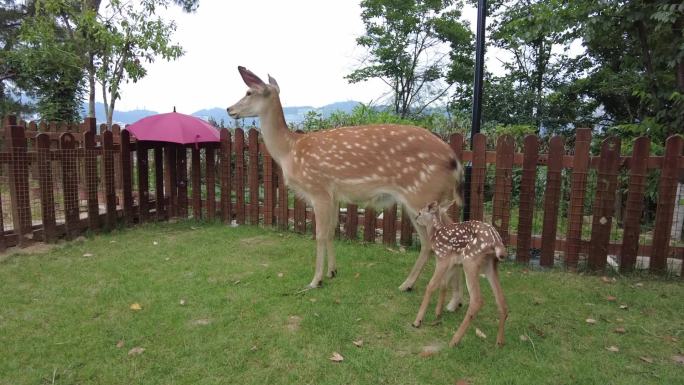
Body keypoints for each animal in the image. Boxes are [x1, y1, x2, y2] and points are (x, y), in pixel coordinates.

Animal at [227, 67, 462, 288]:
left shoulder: (318, 189)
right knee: (433, 240)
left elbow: (320, 234)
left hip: (423, 194)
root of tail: (455, 161)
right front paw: (332, 271)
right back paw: (415, 285)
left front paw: (316, 280)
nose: (229, 109)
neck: (289, 152)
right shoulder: (333, 195)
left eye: (249, 92)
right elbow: (332, 231)